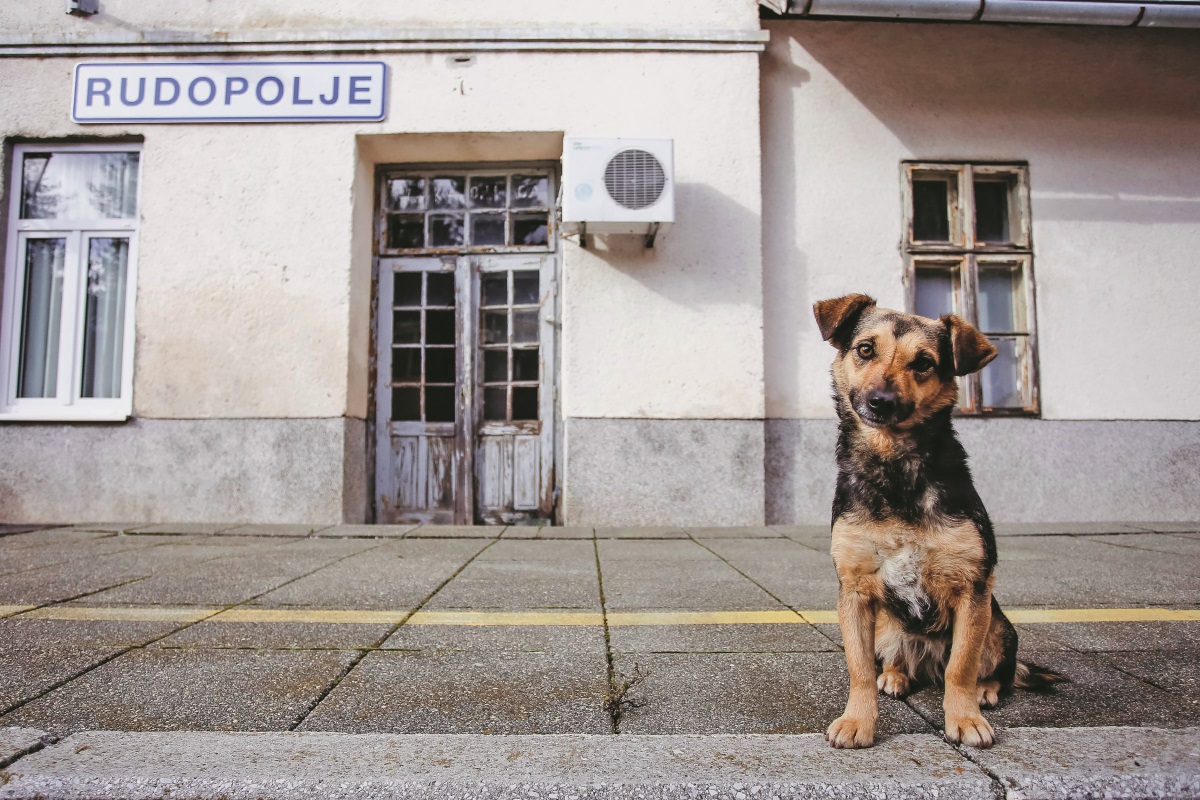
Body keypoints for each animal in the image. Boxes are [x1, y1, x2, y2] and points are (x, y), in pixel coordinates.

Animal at [811, 293, 1065, 753]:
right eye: (865, 349)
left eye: (924, 363)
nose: (880, 401)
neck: (895, 469)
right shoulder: (854, 590)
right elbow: (858, 669)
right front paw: (858, 720)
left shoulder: (972, 587)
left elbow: (960, 667)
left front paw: (964, 719)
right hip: (887, 625)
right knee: (896, 660)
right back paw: (895, 676)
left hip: (998, 626)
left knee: (992, 670)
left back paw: (986, 690)